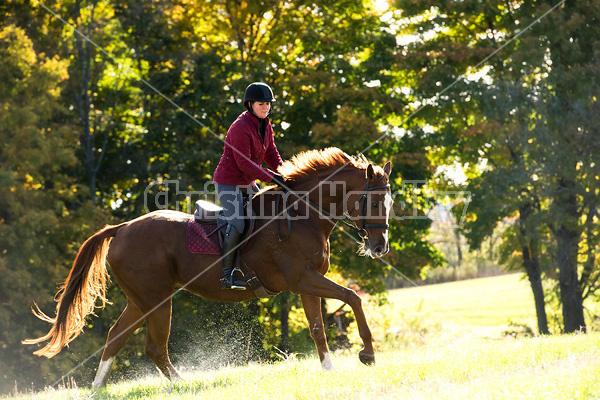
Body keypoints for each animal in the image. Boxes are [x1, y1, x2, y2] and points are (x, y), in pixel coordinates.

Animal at [24, 147, 394, 388]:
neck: (304, 215)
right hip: (156, 300)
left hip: (141, 300)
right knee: (154, 347)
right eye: (375, 202)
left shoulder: (307, 282)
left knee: (117, 337)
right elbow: (353, 298)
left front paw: (330, 370)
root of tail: (123, 228)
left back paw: (98, 389)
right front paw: (368, 354)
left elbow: (318, 327)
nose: (380, 247)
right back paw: (181, 385)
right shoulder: (303, 278)